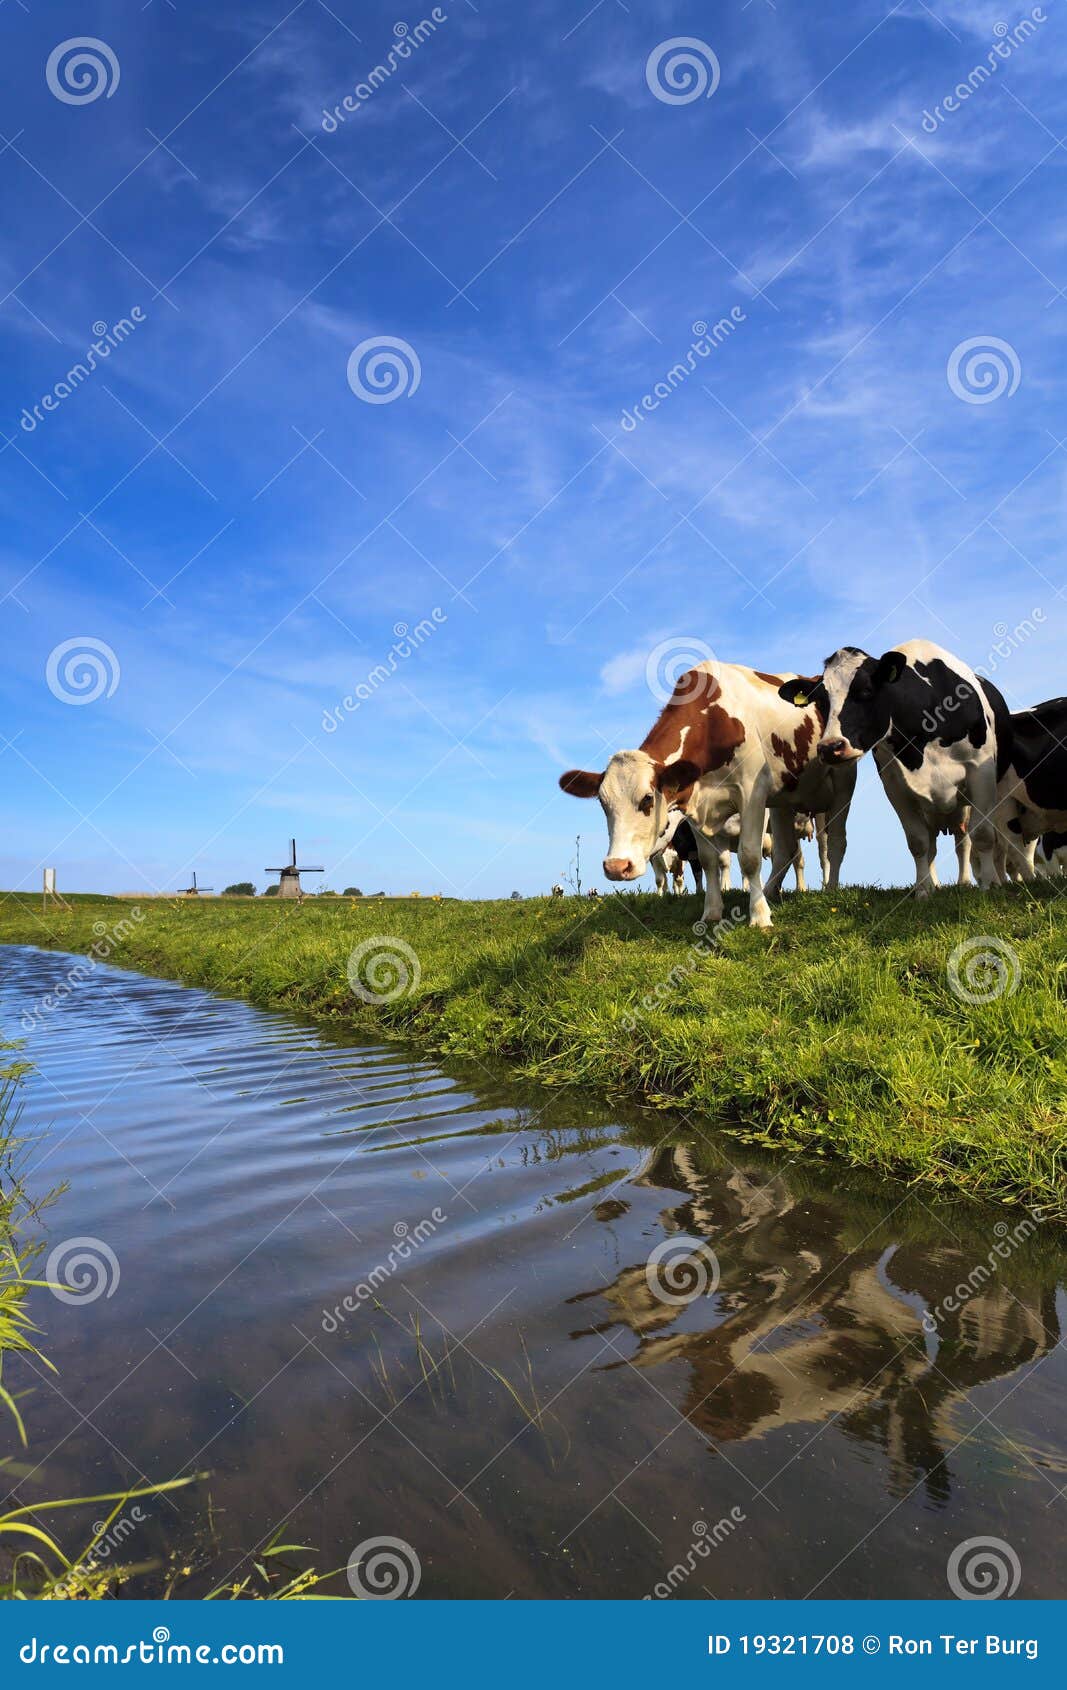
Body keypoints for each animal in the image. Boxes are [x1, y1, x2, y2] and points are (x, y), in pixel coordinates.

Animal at [558, 659, 859, 932]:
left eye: (647, 799)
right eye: (602, 803)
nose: (616, 867)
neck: (715, 721)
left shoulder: (752, 794)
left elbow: (749, 857)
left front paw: (760, 917)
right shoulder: (695, 805)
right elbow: (708, 861)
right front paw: (712, 913)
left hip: (841, 784)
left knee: (832, 844)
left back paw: (829, 887)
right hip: (784, 801)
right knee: (787, 849)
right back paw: (772, 893)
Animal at [777, 635, 1007, 899]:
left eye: (866, 691)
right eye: (823, 701)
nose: (830, 747)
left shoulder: (981, 771)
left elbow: (982, 834)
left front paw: (990, 884)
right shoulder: (895, 785)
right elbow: (918, 842)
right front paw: (923, 890)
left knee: (964, 839)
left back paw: (966, 881)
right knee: (933, 843)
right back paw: (935, 884)